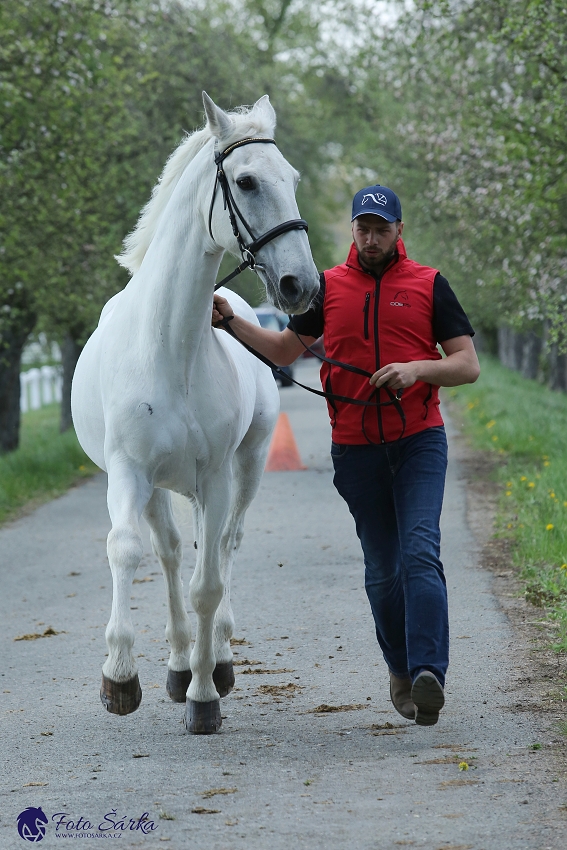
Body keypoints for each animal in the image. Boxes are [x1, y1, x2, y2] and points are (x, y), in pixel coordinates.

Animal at [71, 91, 320, 728]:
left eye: (292, 178)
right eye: (248, 180)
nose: (301, 285)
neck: (170, 347)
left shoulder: (214, 477)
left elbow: (207, 584)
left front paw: (205, 697)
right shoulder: (129, 473)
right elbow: (127, 550)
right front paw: (120, 678)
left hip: (245, 468)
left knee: (224, 546)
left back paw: (215, 660)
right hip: (158, 487)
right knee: (168, 552)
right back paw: (179, 662)